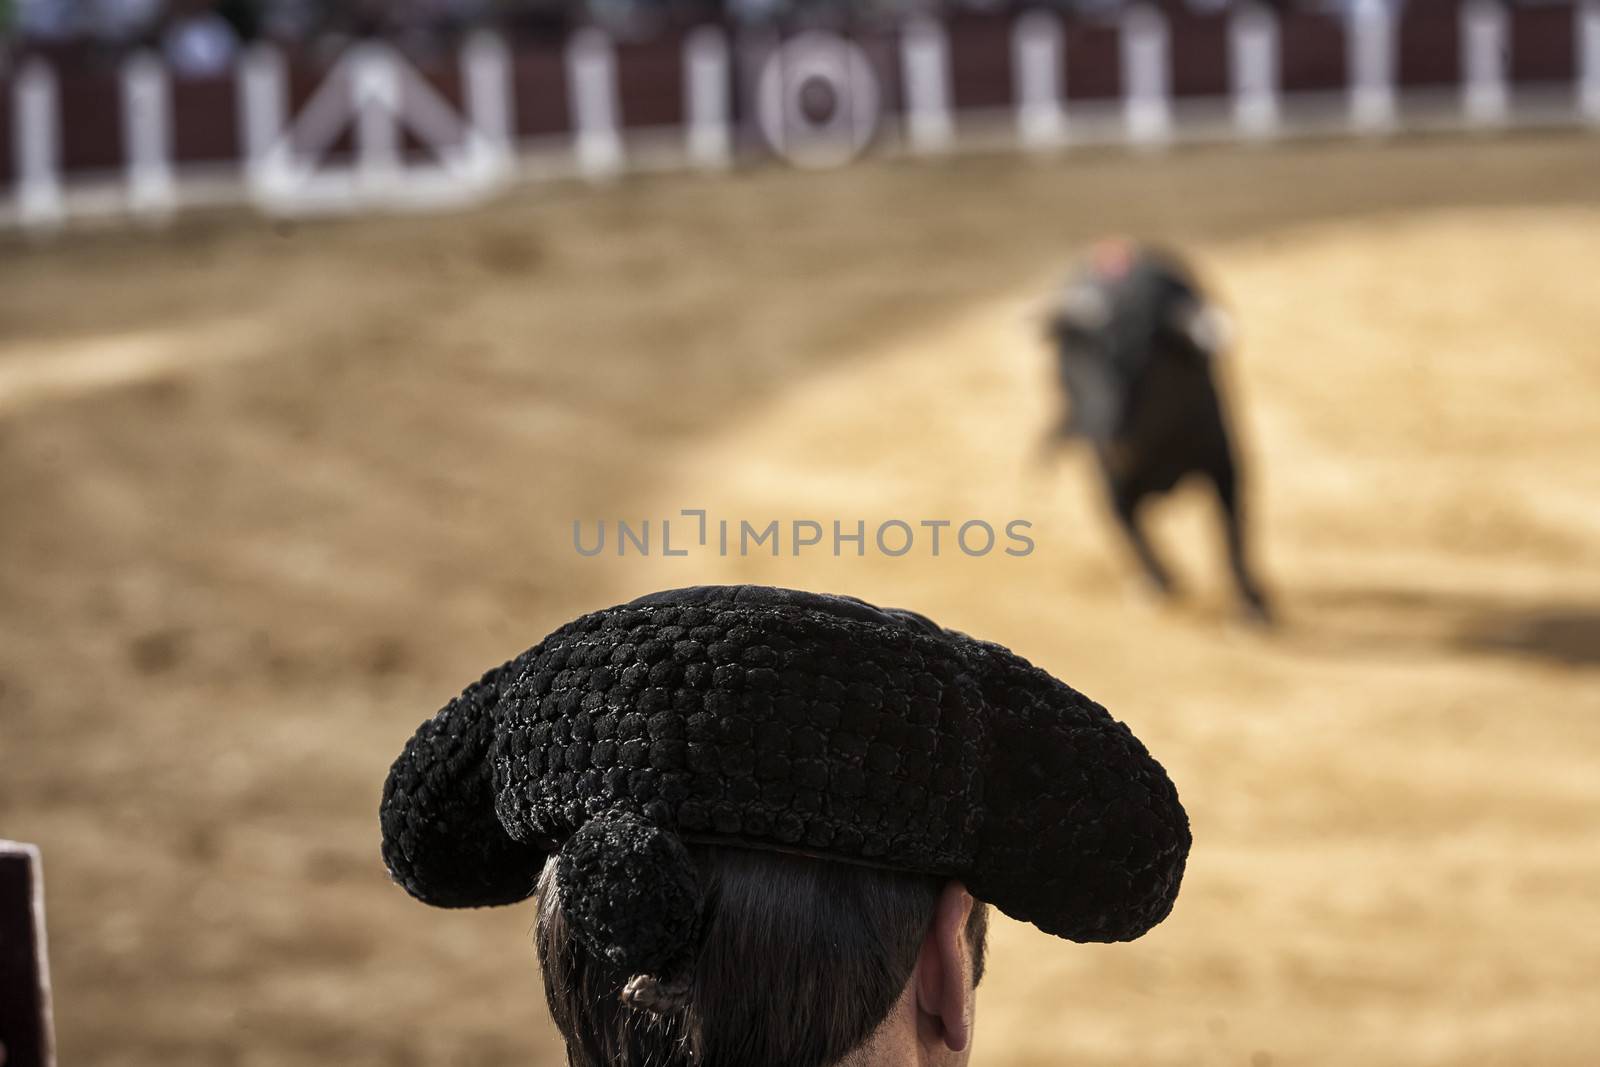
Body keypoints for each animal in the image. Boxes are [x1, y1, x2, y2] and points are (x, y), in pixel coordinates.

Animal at [1036, 238, 1273, 620]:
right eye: (1089, 359)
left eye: (1147, 365)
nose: (1111, 435)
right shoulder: (1111, 481)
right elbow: (1129, 528)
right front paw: (1160, 582)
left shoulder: (1224, 463)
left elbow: (1233, 533)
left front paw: (1252, 602)